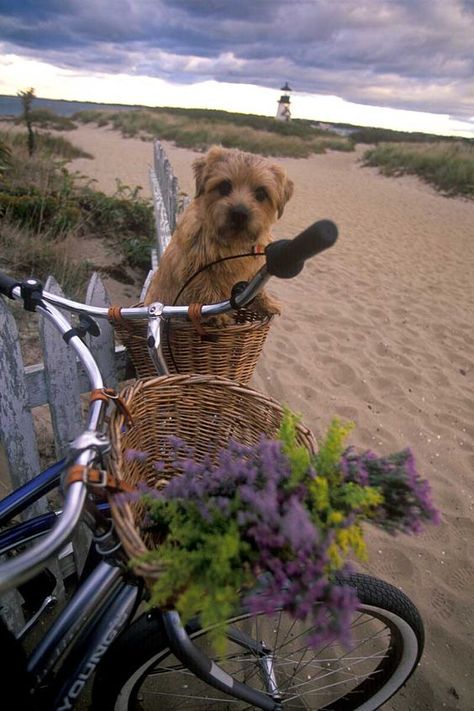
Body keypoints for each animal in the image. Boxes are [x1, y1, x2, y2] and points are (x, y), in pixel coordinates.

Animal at [143, 145, 294, 322]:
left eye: (261, 193)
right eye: (224, 186)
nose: (239, 214)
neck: (234, 242)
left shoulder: (252, 271)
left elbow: (256, 287)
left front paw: (267, 303)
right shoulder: (196, 268)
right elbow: (207, 288)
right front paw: (217, 316)